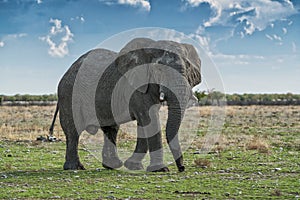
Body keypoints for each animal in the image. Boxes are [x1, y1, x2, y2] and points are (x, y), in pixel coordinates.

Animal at [49, 37, 202, 172]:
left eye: (188, 69)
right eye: (159, 70)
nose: (182, 168)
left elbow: (144, 122)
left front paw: (133, 166)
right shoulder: (136, 86)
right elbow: (150, 119)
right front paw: (160, 169)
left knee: (111, 129)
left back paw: (112, 166)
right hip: (69, 94)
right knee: (73, 130)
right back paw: (74, 167)